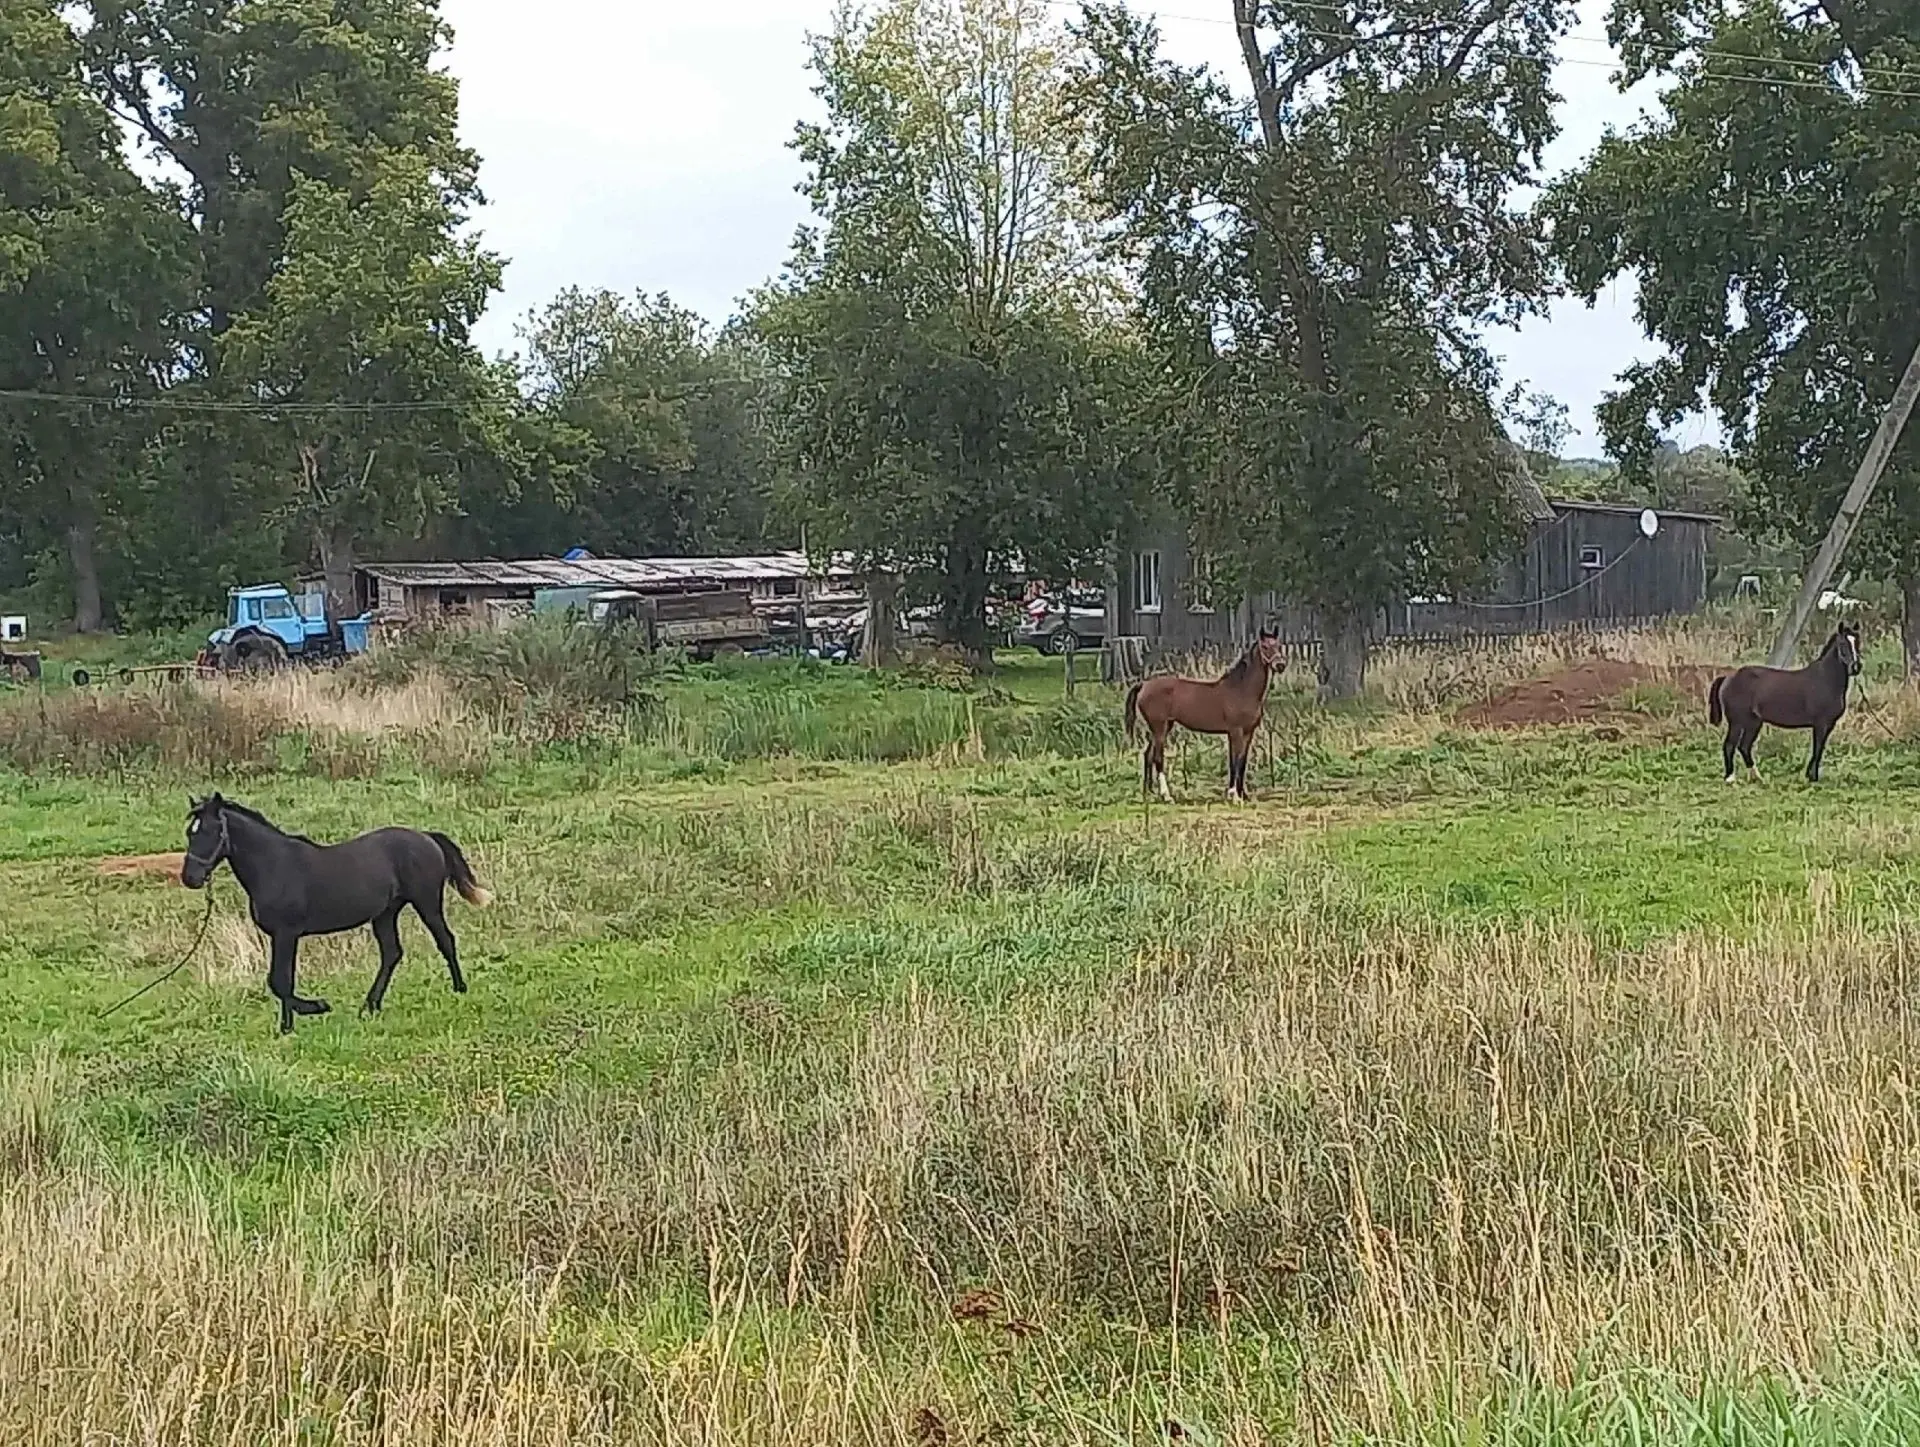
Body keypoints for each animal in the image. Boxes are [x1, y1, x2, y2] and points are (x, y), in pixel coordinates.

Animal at [179, 793, 492, 1034]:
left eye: (210, 830)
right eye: (189, 832)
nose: (190, 878)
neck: (274, 865)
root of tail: (427, 837)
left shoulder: (287, 933)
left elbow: (280, 981)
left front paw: (315, 1008)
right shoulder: (281, 936)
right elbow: (281, 981)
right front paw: (288, 1027)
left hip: (426, 902)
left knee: (445, 940)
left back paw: (459, 990)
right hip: (385, 913)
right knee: (392, 953)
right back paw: (370, 1007)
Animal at [1123, 627, 1285, 803]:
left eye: (1278, 645)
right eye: (1265, 647)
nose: (1280, 665)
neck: (1241, 690)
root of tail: (1144, 684)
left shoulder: (1248, 732)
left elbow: (1241, 762)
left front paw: (1241, 794)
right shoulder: (1235, 731)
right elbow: (1235, 761)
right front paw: (1234, 795)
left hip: (1163, 727)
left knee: (1148, 755)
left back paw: (1149, 792)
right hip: (1159, 727)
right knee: (1157, 757)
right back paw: (1166, 796)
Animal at [1708, 622, 1861, 784]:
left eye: (1857, 642)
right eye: (1842, 644)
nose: (1856, 667)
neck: (1825, 680)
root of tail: (1729, 677)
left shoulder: (1829, 724)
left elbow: (1819, 749)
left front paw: (1809, 775)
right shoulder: (1821, 724)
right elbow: (1818, 749)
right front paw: (1813, 778)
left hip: (1753, 722)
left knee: (1744, 747)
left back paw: (1757, 777)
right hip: (1737, 722)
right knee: (1730, 745)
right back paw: (1730, 778)